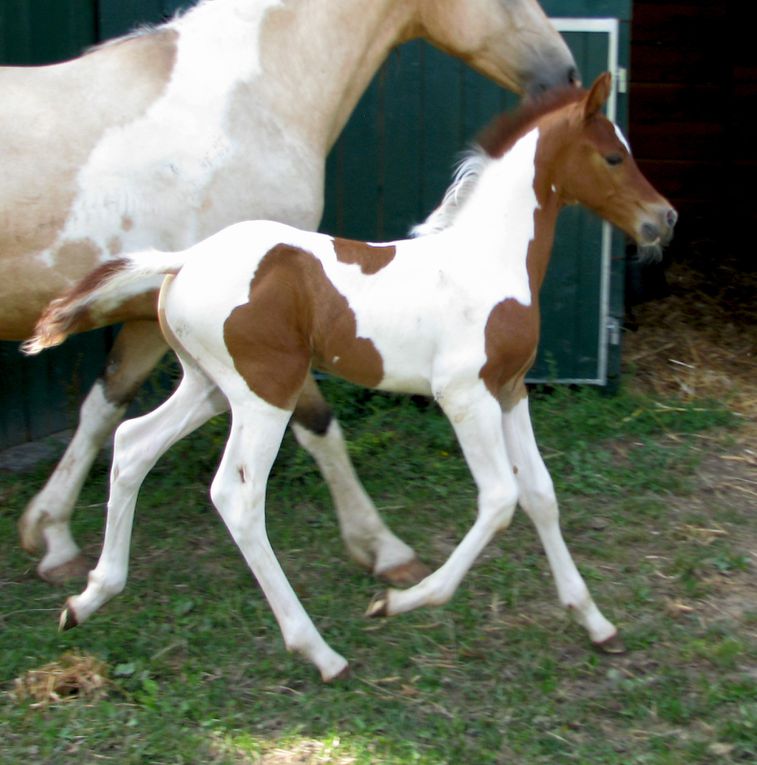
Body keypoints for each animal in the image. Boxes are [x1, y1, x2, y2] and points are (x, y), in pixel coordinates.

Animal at [2, 0, 576, 580]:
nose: (566, 76)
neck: (250, 101)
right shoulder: (273, 332)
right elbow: (319, 424)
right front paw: (385, 550)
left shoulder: (150, 321)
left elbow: (103, 407)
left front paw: (49, 534)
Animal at [26, 74, 676, 676]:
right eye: (612, 156)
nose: (663, 219)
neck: (484, 260)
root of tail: (183, 261)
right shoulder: (463, 395)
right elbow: (499, 499)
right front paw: (400, 601)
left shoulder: (510, 391)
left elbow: (541, 494)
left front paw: (596, 623)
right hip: (266, 394)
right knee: (237, 497)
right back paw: (319, 651)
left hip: (208, 387)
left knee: (132, 444)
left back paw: (89, 598)